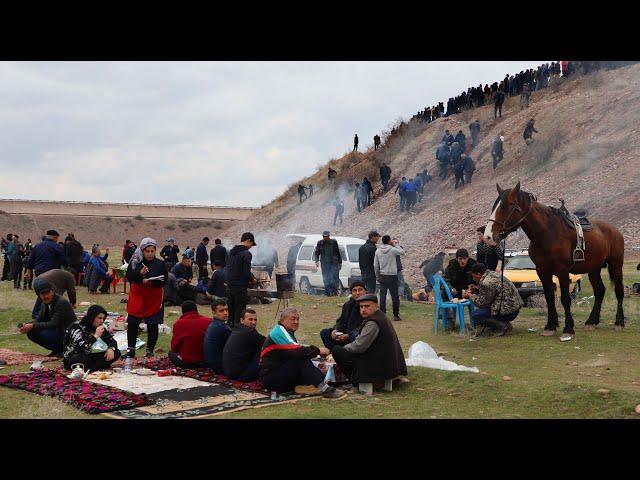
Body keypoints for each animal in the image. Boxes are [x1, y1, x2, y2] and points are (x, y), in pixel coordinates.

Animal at [484, 182, 624, 336]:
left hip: (616, 265)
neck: (546, 234)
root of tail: (615, 231)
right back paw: (592, 321)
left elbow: (565, 298)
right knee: (599, 291)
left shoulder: (562, 271)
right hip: (594, 269)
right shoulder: (542, 271)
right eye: (494, 207)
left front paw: (568, 328)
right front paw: (550, 326)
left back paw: (619, 322)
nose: (488, 236)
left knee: (619, 291)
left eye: (505, 206)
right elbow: (549, 297)